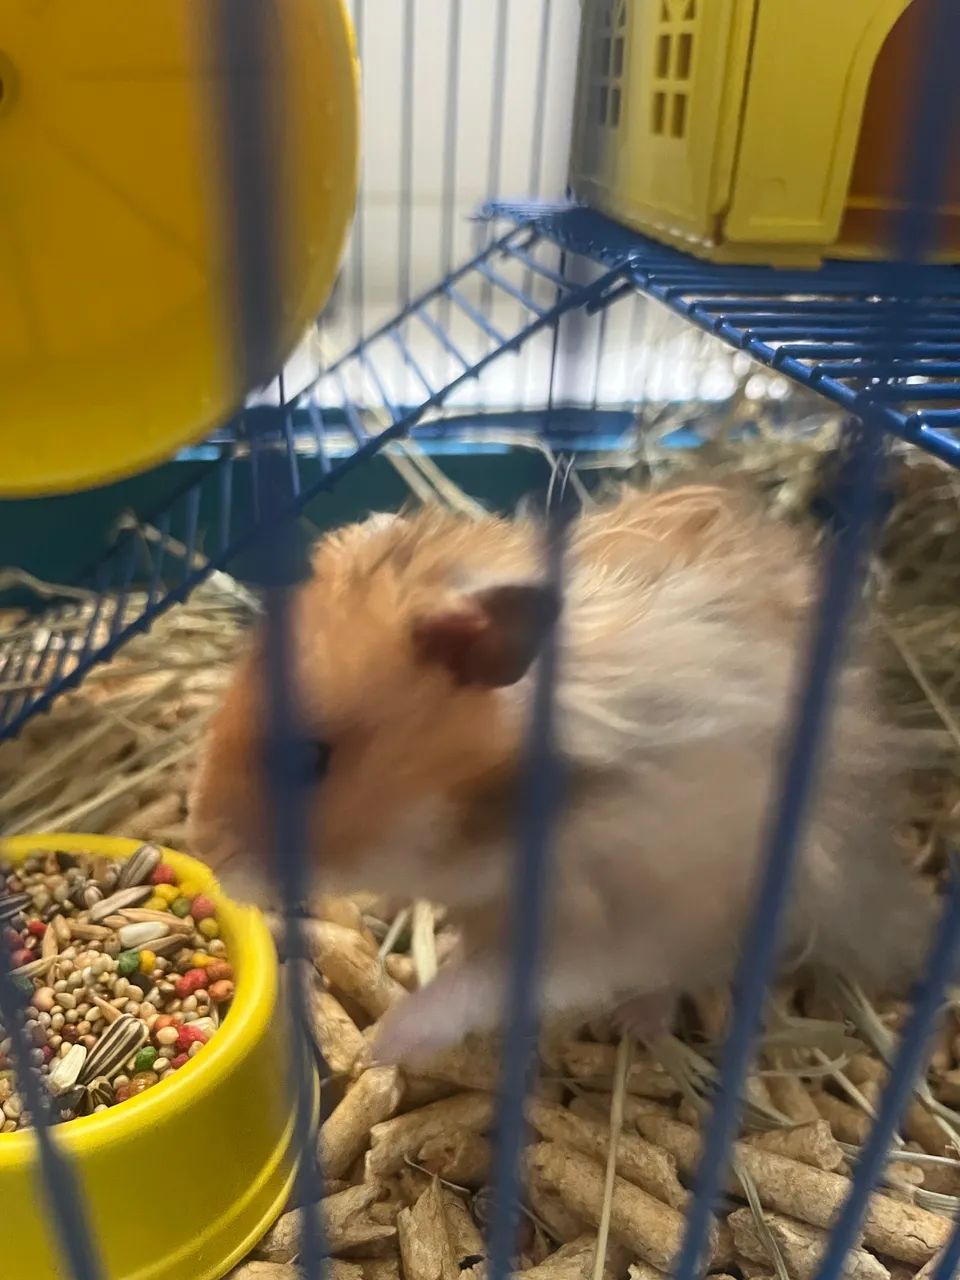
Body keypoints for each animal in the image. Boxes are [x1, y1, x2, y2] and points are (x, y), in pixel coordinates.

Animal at [188, 484, 935, 1063]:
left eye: (306, 760)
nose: (212, 862)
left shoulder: (594, 919)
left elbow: (479, 986)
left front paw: (384, 1045)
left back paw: (637, 1023)